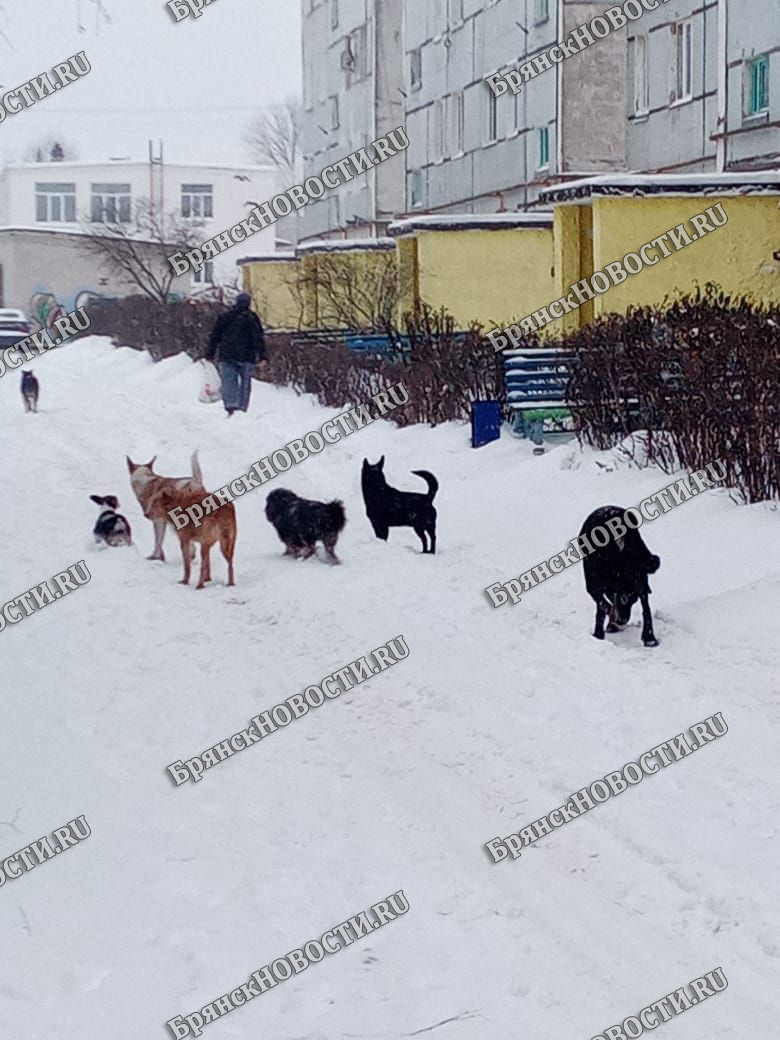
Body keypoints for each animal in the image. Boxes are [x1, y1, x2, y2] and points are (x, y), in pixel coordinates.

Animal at [582, 501, 661, 640]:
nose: (622, 621)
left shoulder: (593, 585)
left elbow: (602, 605)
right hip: (640, 576)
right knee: (645, 606)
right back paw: (649, 638)